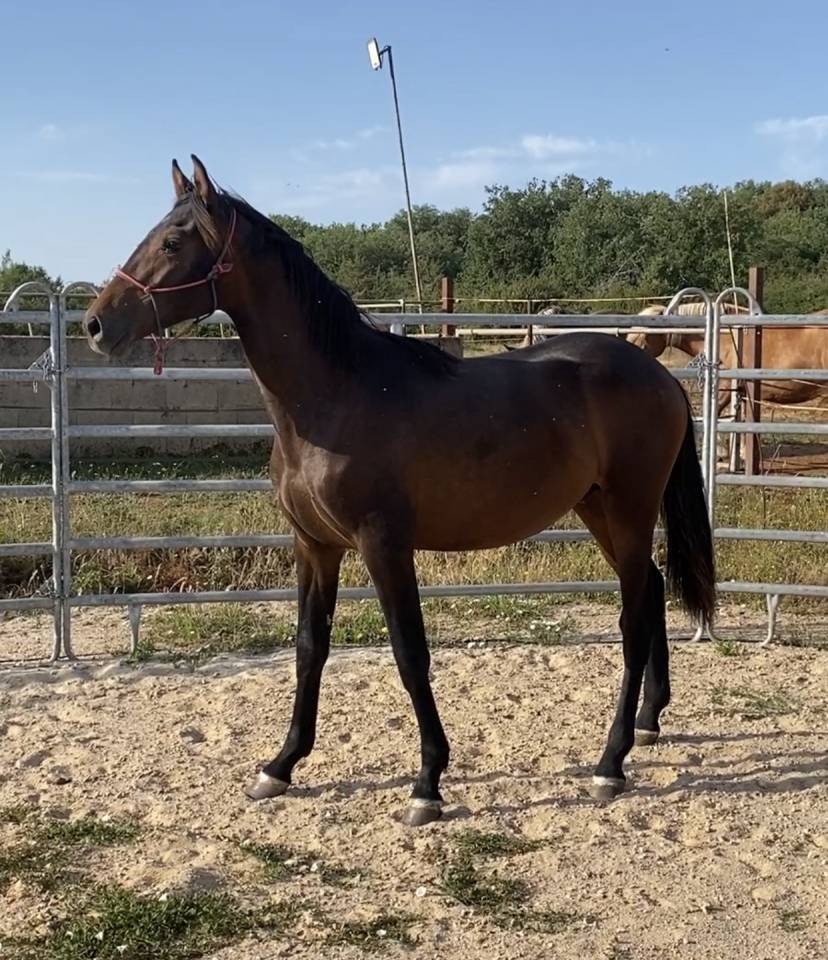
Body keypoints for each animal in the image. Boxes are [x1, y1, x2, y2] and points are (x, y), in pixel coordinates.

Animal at [83, 157, 715, 826]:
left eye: (173, 242)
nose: (96, 325)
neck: (336, 396)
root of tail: (661, 378)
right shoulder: (314, 546)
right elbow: (309, 647)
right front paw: (280, 766)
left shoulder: (383, 545)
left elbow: (410, 653)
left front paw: (428, 782)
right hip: (598, 510)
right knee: (651, 591)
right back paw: (648, 721)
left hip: (627, 509)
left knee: (632, 616)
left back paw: (610, 763)